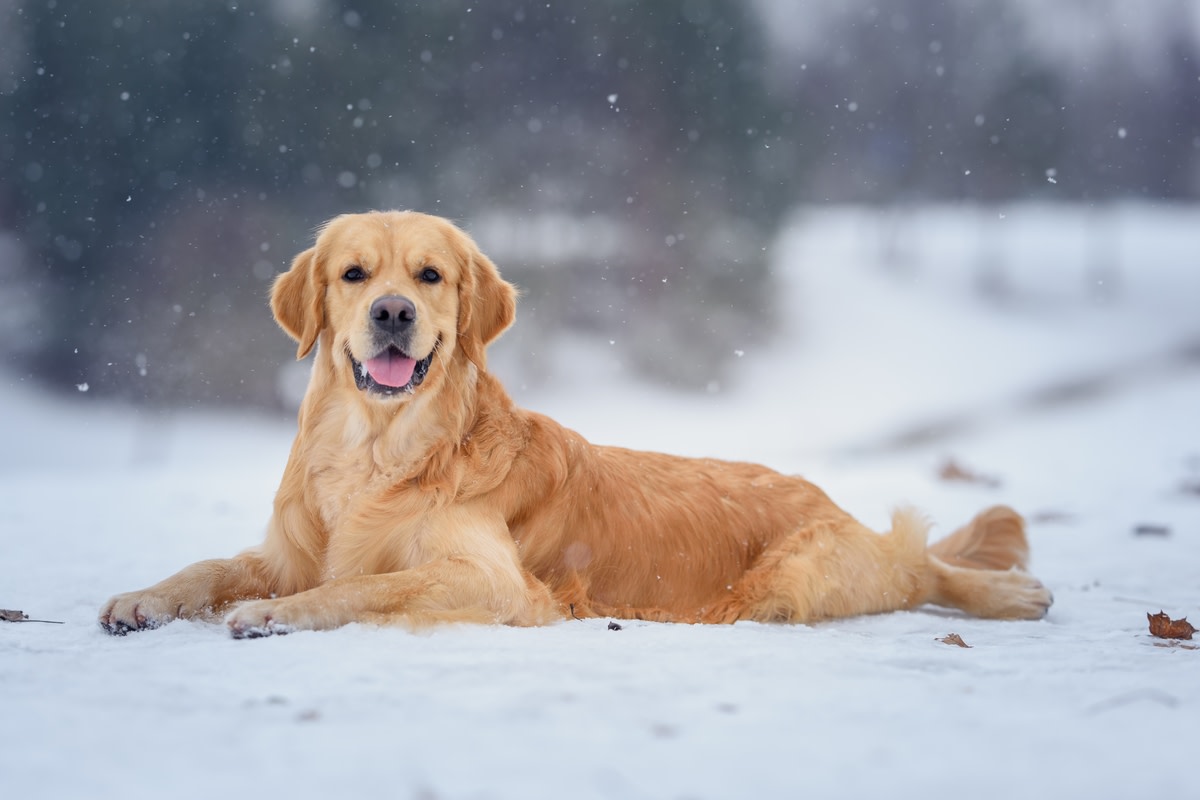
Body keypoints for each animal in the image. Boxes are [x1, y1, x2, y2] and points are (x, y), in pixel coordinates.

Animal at [100, 211, 1051, 638]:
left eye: (431, 275)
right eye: (354, 274)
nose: (393, 314)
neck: (380, 446)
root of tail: (824, 496)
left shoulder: (489, 580)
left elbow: (364, 585)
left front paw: (280, 614)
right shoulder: (288, 548)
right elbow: (213, 566)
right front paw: (143, 596)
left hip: (799, 578)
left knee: (916, 562)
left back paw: (1009, 592)